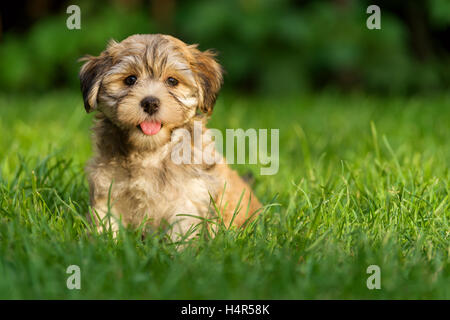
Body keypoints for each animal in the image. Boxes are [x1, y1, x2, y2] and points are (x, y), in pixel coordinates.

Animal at [77, 34, 260, 240]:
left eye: (172, 81)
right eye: (130, 79)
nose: (150, 103)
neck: (150, 152)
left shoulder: (188, 197)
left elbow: (182, 229)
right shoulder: (107, 188)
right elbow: (106, 222)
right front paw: (103, 242)